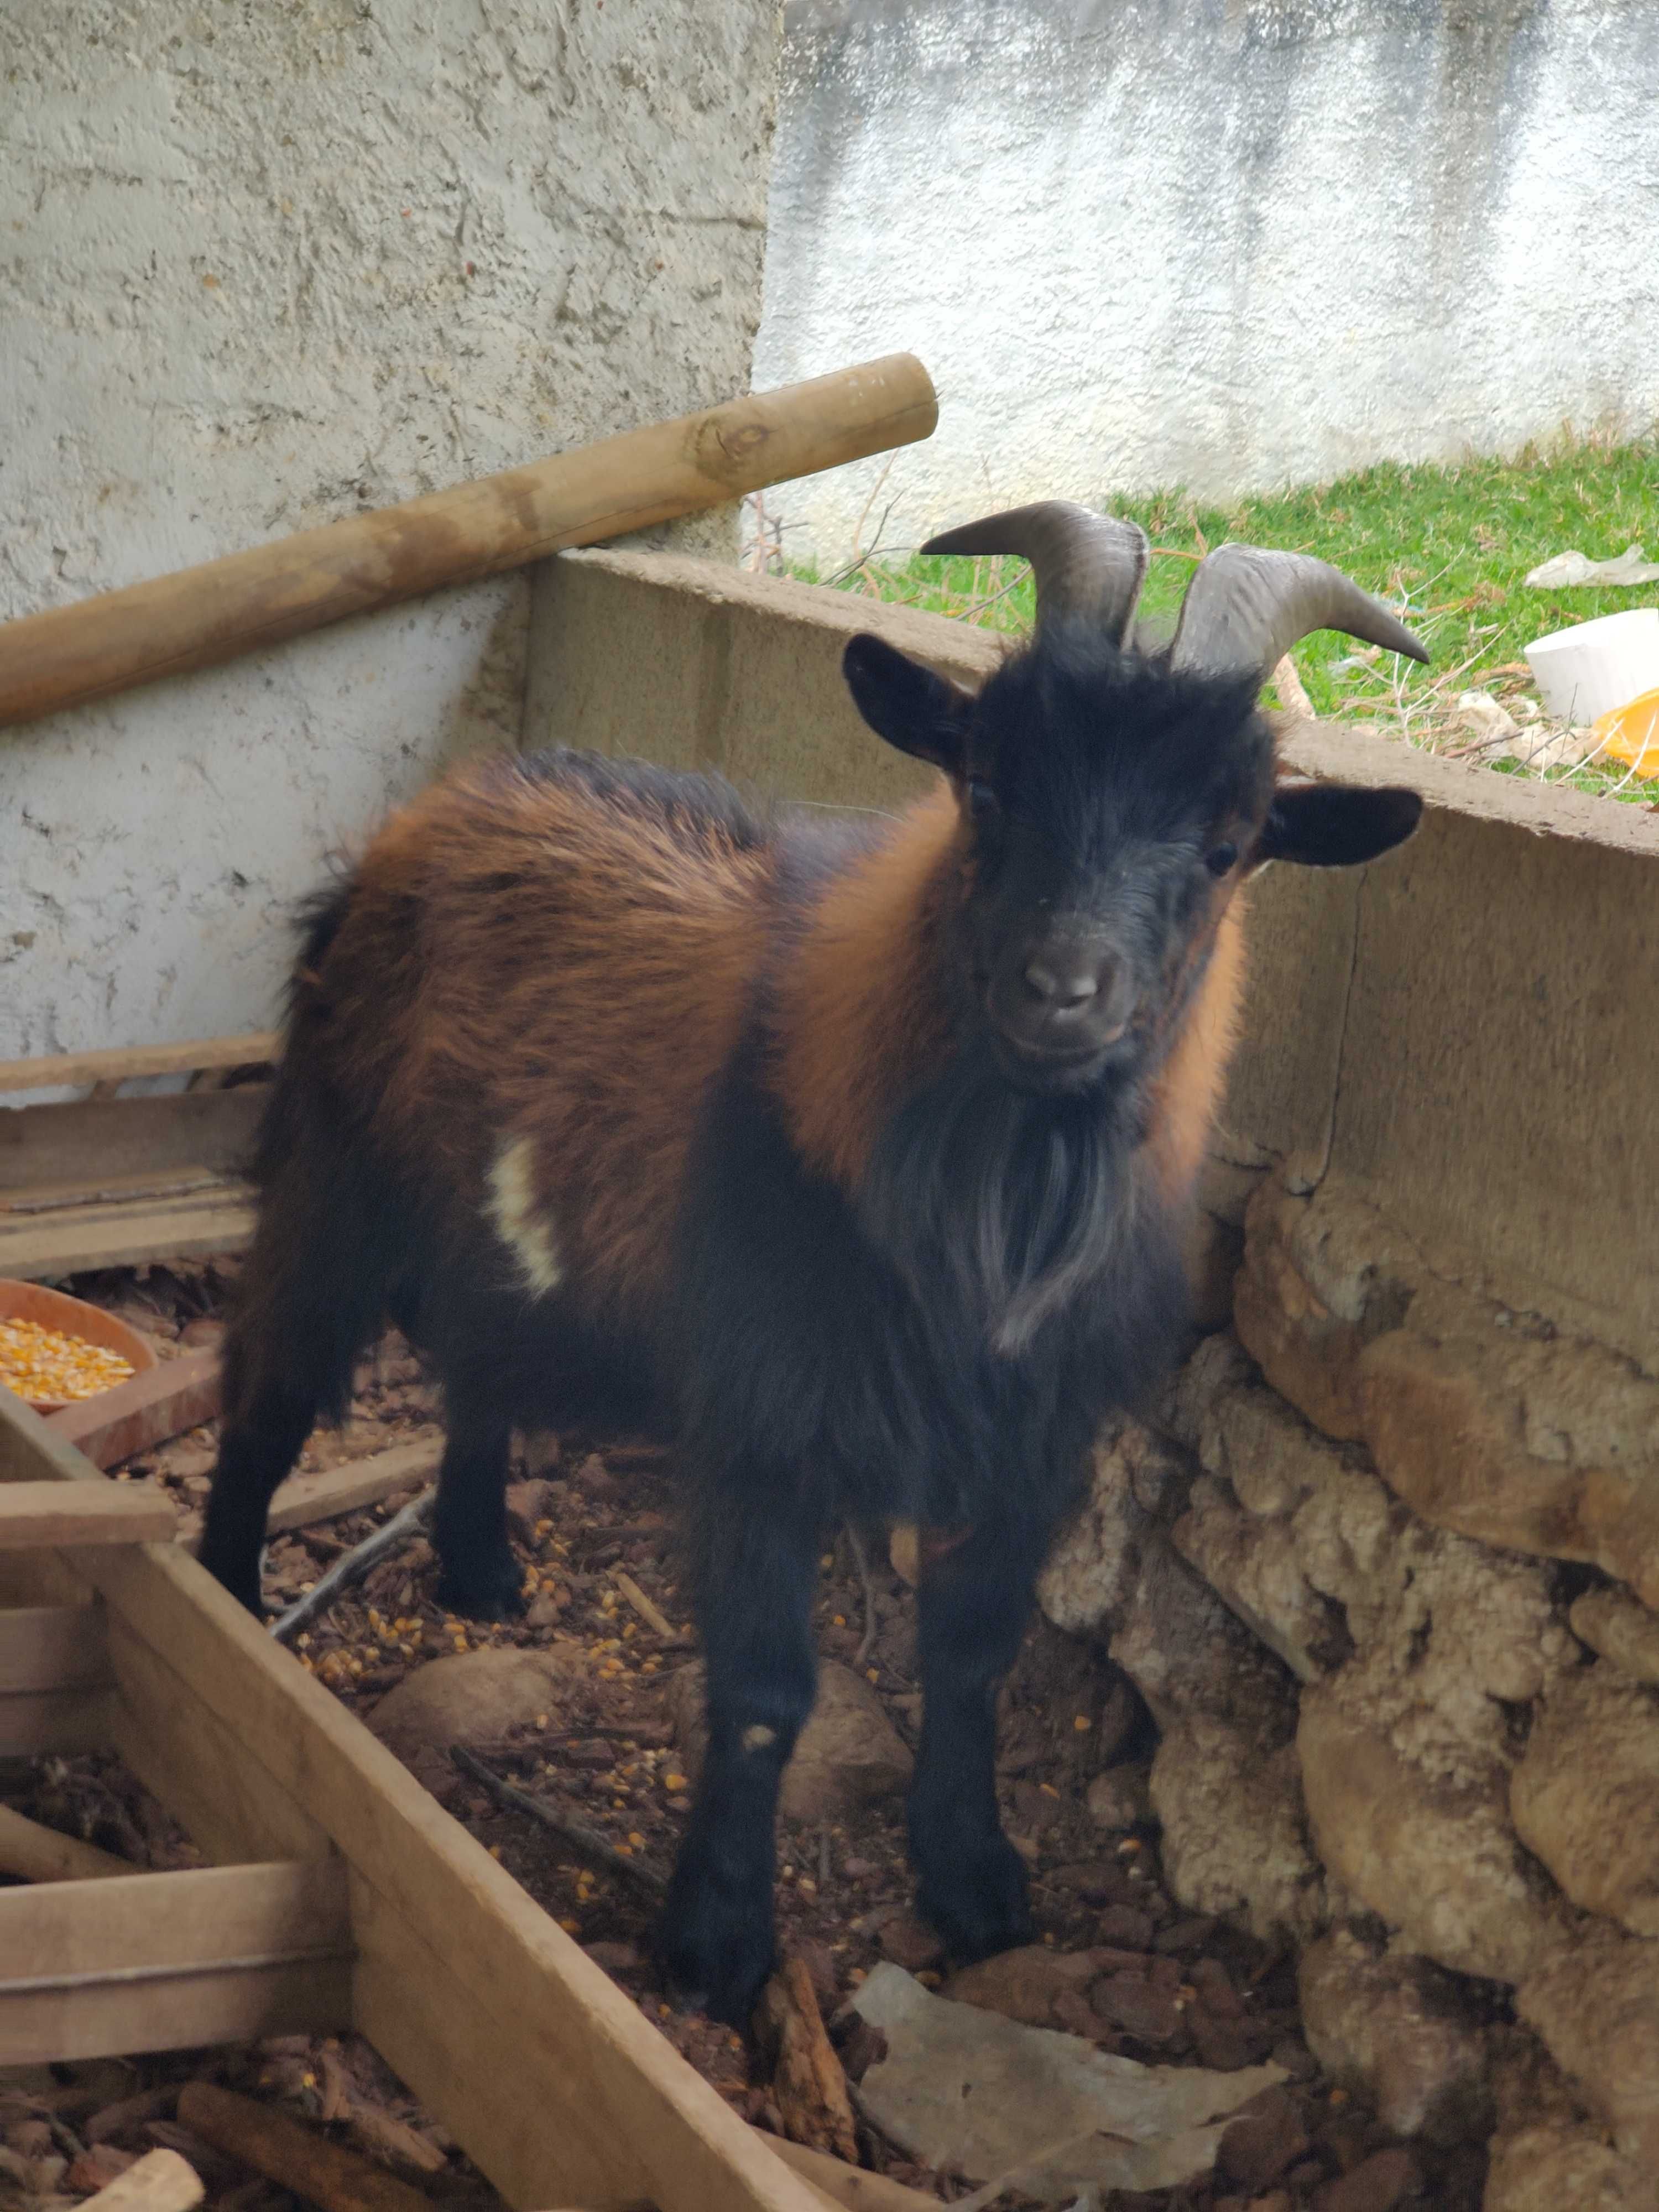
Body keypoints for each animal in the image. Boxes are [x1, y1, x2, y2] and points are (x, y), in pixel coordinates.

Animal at [198, 502, 1433, 2026]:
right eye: (983, 784)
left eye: (1229, 842)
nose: (1058, 991)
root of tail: (448, 802)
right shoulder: (762, 1426)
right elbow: (765, 1689)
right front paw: (717, 1942)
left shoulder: (1033, 1445)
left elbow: (970, 1656)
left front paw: (974, 1879)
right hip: (339, 1178)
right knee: (266, 1389)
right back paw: (229, 1599)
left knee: (480, 1373)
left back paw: (480, 1567)